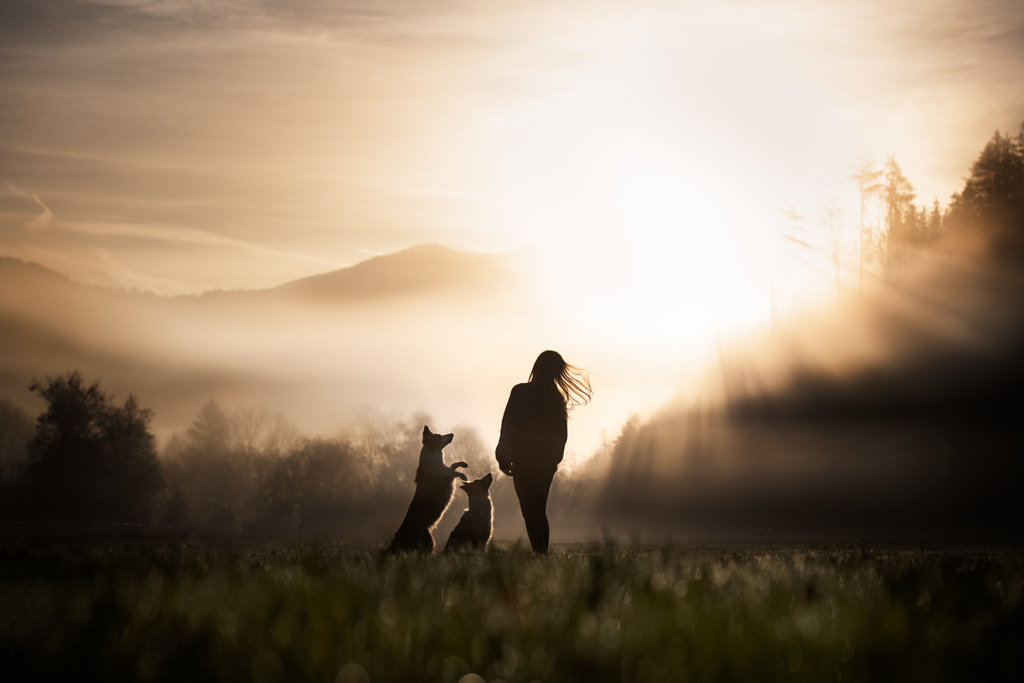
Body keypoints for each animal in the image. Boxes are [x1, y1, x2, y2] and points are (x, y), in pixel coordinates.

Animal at [387, 423, 468, 552]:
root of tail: (400, 534)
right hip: (429, 542)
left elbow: (453, 465)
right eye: (439, 436)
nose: (452, 434)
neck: (433, 459)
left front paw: (463, 464)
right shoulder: (445, 477)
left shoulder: (447, 471)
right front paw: (463, 475)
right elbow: (454, 472)